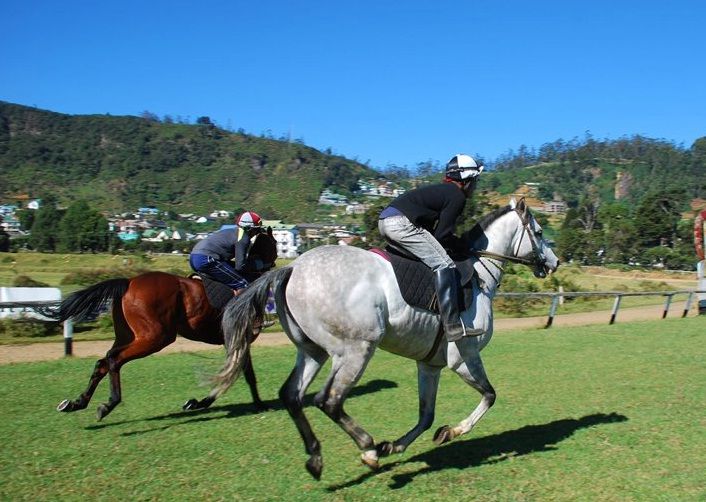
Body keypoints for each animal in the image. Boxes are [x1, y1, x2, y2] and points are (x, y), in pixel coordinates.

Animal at [54, 229, 278, 418]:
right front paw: (257, 404)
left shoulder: (236, 340)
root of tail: (129, 282)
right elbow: (238, 373)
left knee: (103, 362)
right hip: (156, 337)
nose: (277, 263)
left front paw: (198, 402)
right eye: (275, 243)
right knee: (114, 359)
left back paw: (76, 403)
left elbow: (240, 373)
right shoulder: (241, 338)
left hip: (128, 335)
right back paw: (109, 404)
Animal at [212, 198, 560, 476]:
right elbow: (489, 395)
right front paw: (453, 431)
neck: (480, 275)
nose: (554, 263)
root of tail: (293, 268)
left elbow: (427, 415)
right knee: (329, 400)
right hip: (357, 349)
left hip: (313, 351)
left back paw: (316, 457)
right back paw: (368, 449)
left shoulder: (430, 365)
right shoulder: (463, 357)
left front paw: (400, 445)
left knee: (292, 395)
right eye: (540, 233)